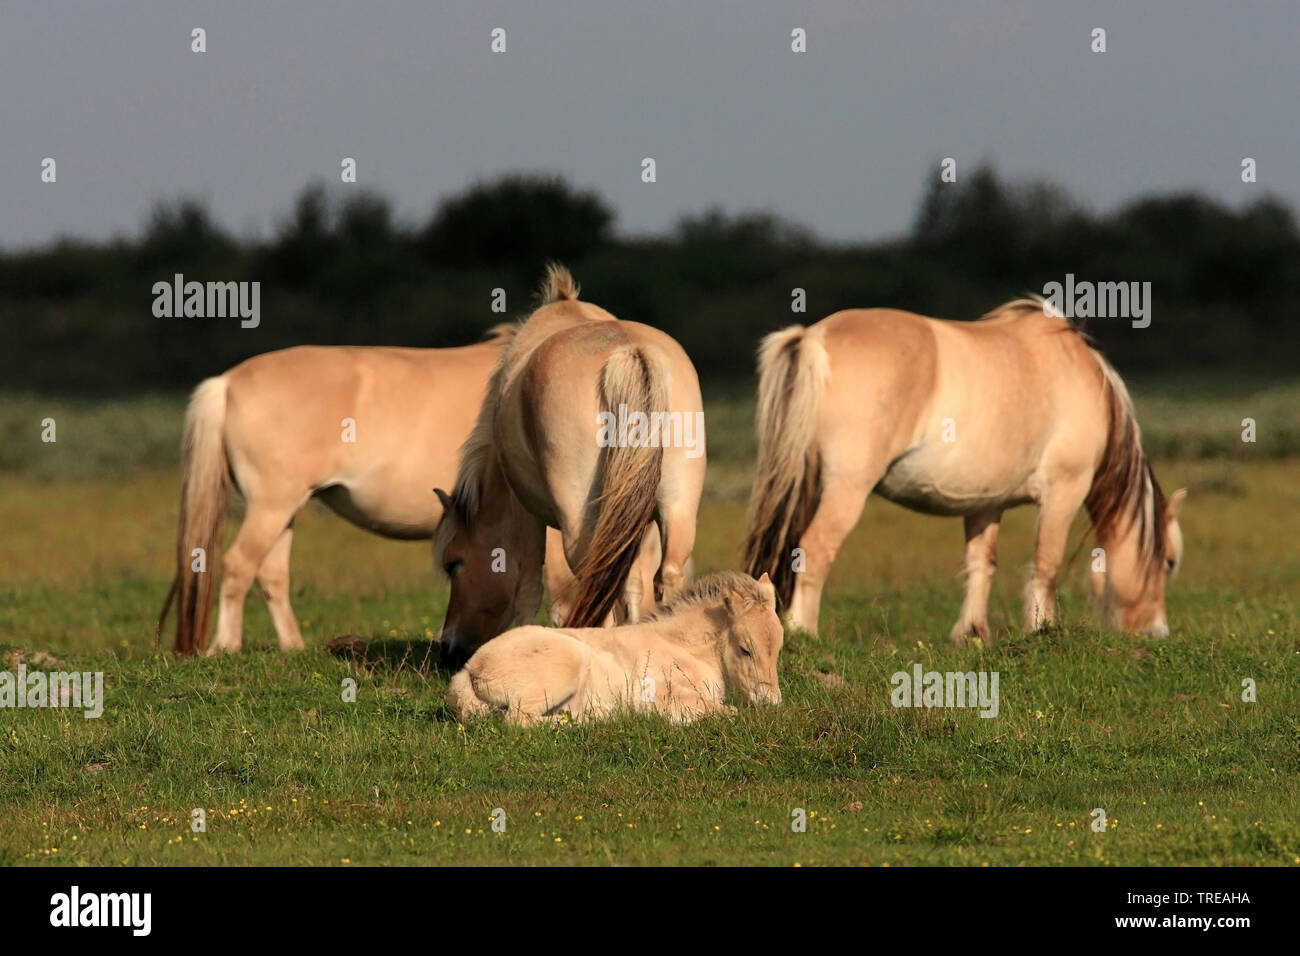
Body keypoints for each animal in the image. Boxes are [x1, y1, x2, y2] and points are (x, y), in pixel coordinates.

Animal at [156, 327, 517, 650]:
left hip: (281, 511)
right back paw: (226, 646)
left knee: (270, 573)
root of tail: (227, 383)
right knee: (238, 564)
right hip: (271, 506)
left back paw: (293, 647)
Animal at [436, 265, 707, 671]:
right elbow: (631, 584)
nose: (449, 649)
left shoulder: (526, 513)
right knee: (666, 576)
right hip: (677, 507)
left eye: (454, 563)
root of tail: (630, 351)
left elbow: (531, 589)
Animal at [447, 567, 780, 723]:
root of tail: (471, 668)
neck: (685, 648)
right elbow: (727, 712)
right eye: (745, 649)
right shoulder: (666, 698)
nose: (771, 703)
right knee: (519, 720)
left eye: (777, 650)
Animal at [743, 299, 1190, 642]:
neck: (1080, 377)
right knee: (815, 548)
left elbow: (981, 565)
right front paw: (1040, 631)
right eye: (1169, 562)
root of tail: (813, 337)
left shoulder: (985, 504)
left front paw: (972, 634)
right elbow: (1046, 565)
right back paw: (803, 632)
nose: (1157, 633)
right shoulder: (1065, 490)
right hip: (846, 488)